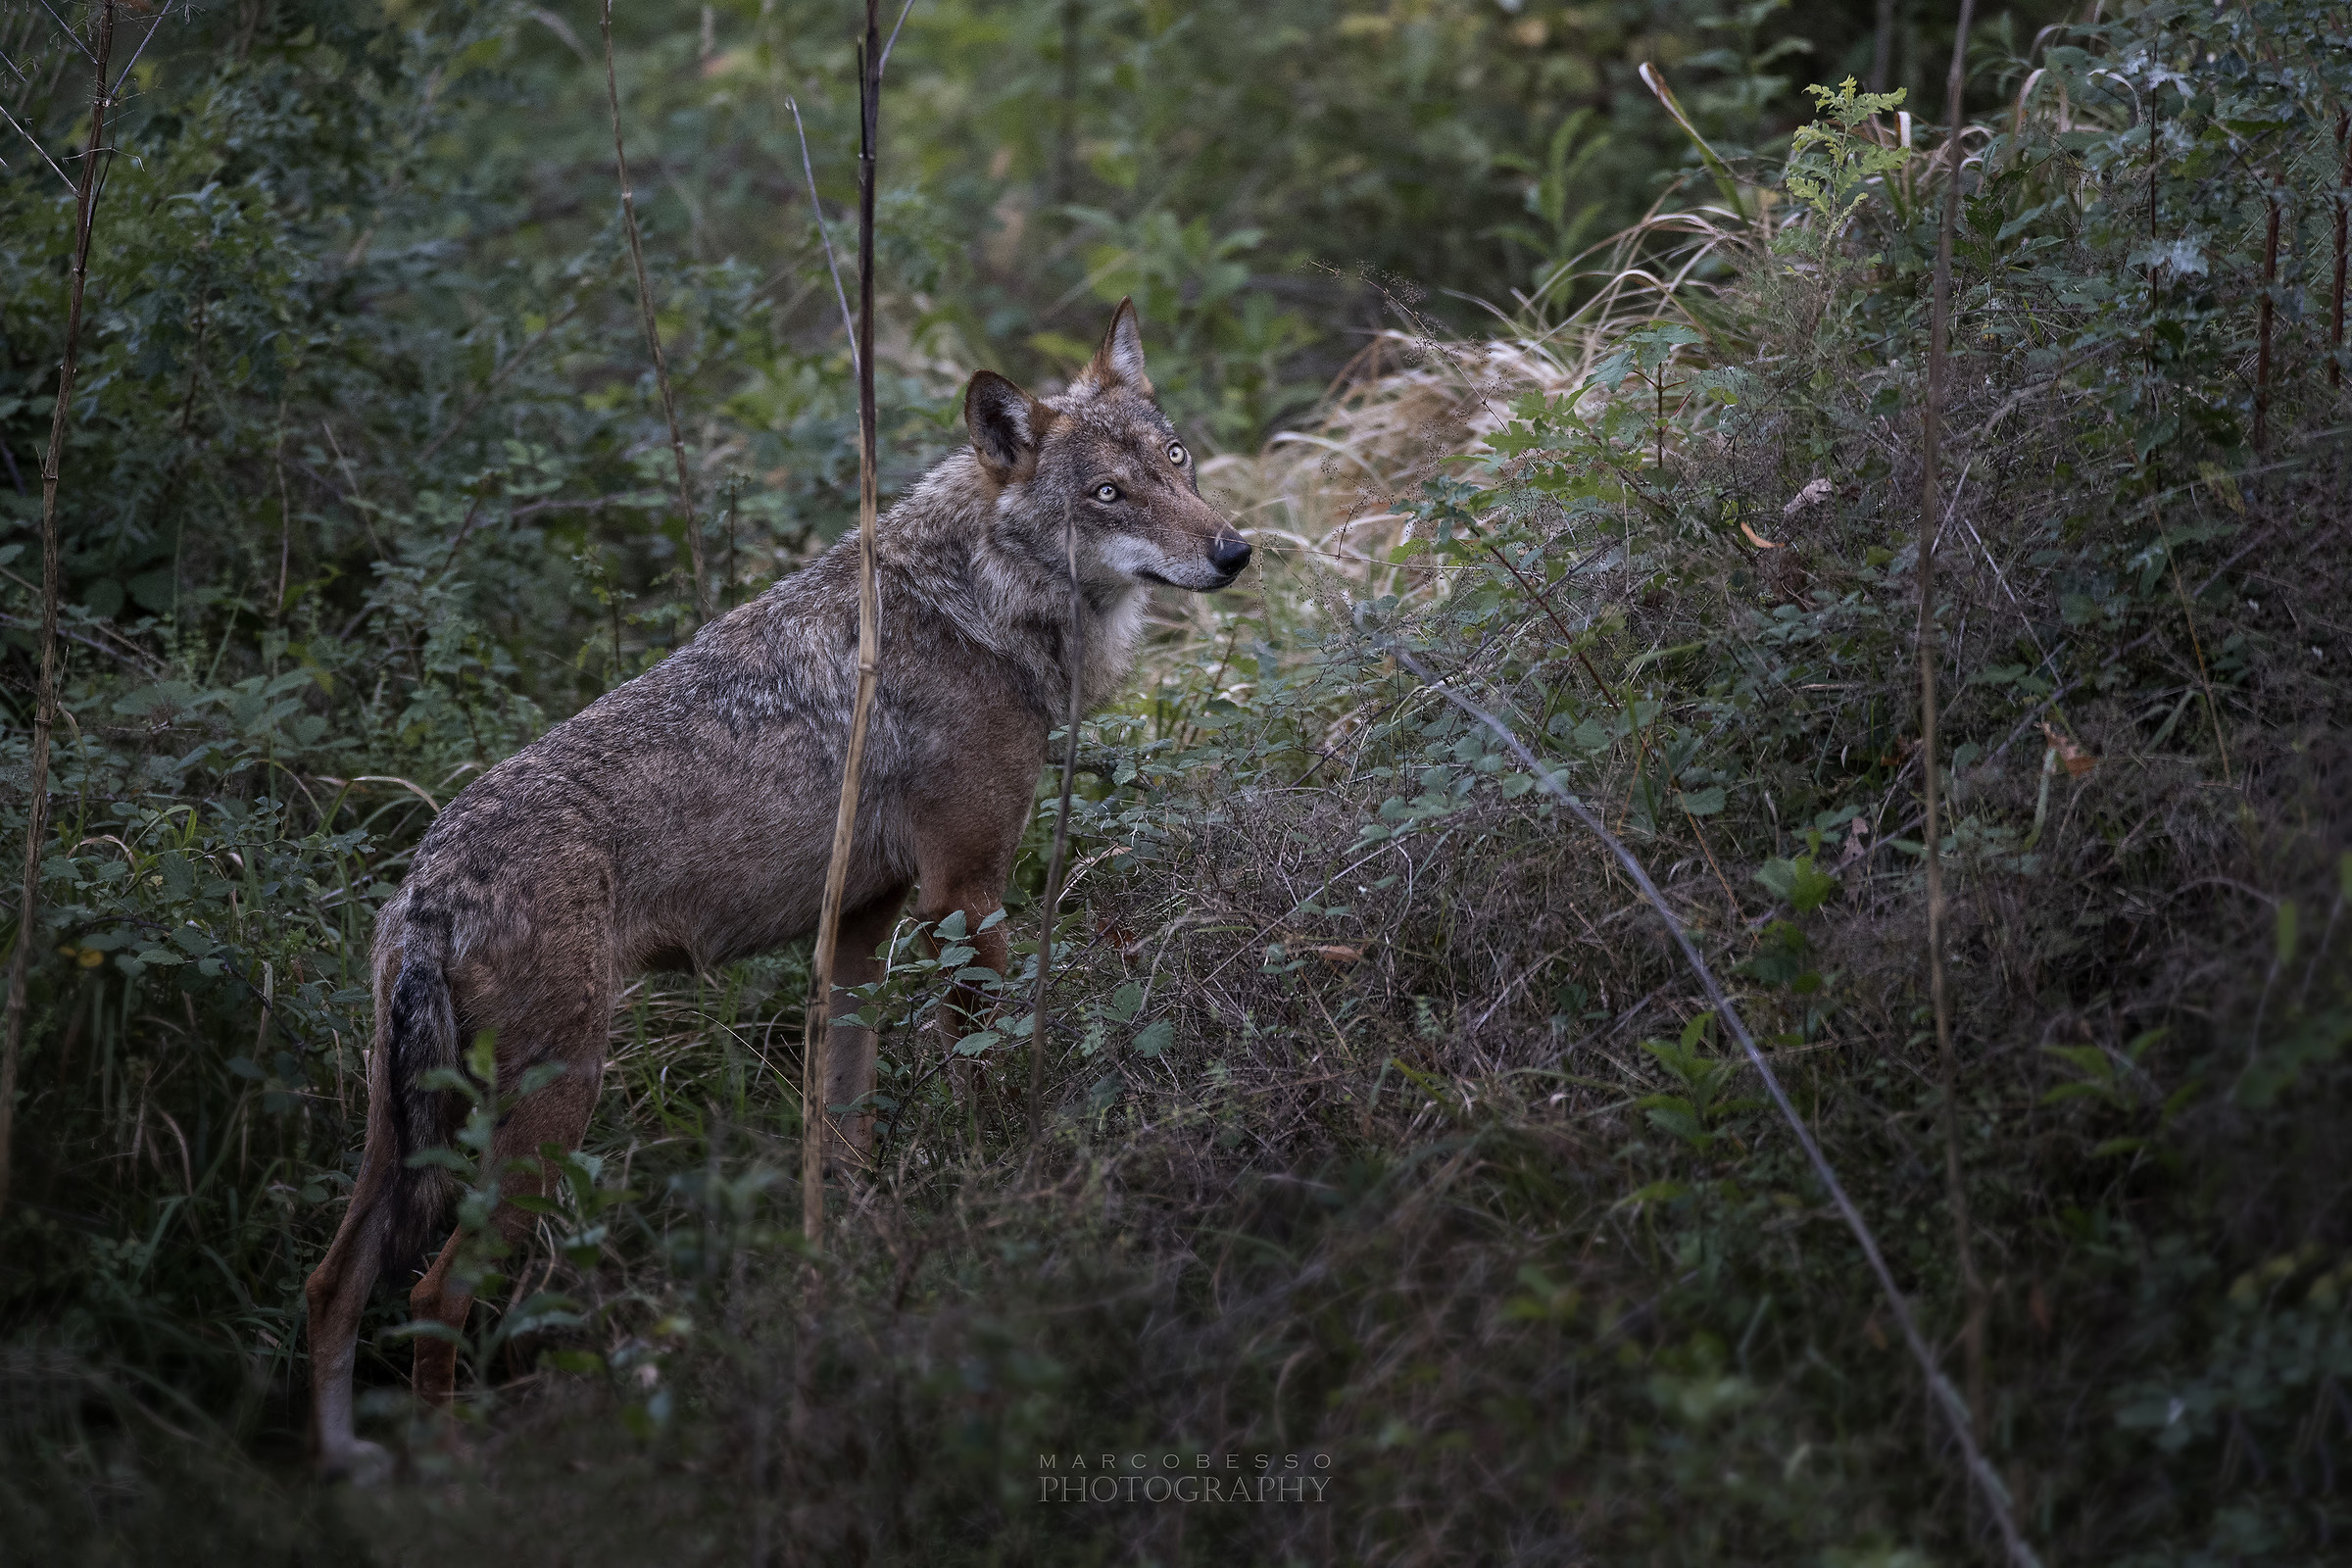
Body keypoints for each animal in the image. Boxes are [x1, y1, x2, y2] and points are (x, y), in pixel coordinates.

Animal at [302, 300, 1249, 1477]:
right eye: (1109, 494)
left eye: (1177, 460)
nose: (1234, 551)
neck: (980, 603)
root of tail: (429, 890)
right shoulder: (965, 891)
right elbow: (997, 1062)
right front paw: (1020, 1168)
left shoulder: (859, 932)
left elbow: (841, 1133)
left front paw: (845, 1268)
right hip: (552, 1110)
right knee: (437, 1291)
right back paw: (452, 1472)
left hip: (403, 1135)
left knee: (330, 1285)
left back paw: (346, 1462)